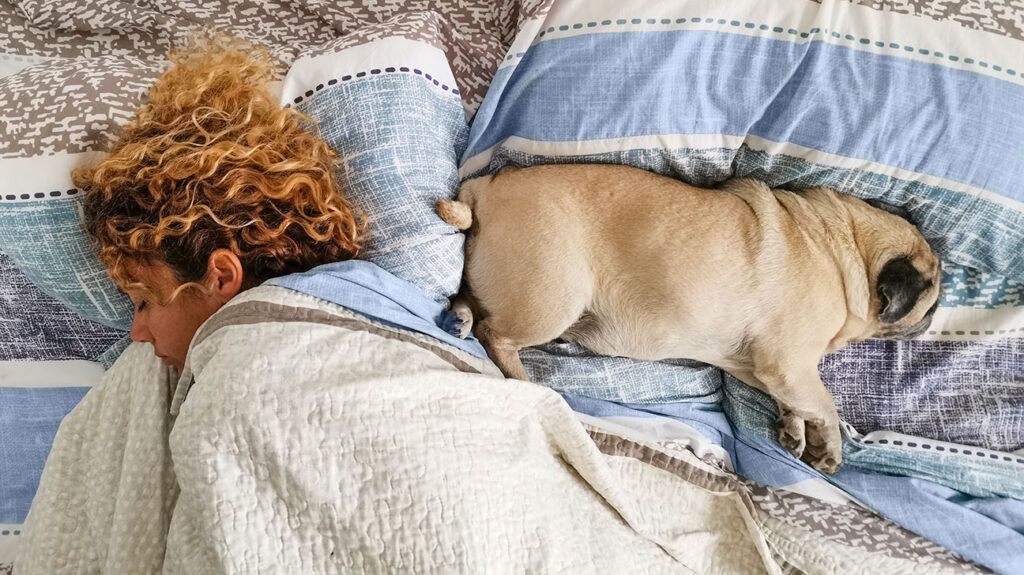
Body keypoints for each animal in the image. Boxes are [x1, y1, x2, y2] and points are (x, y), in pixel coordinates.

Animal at [436, 161, 937, 470]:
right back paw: (527, 381)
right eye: (932, 293)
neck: (845, 250)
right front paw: (829, 445)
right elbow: (826, 403)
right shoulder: (789, 365)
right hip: (553, 298)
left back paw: (459, 318)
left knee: (471, 302)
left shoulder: (764, 369)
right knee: (498, 336)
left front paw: (795, 430)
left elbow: (796, 402)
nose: (933, 315)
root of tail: (485, 189)